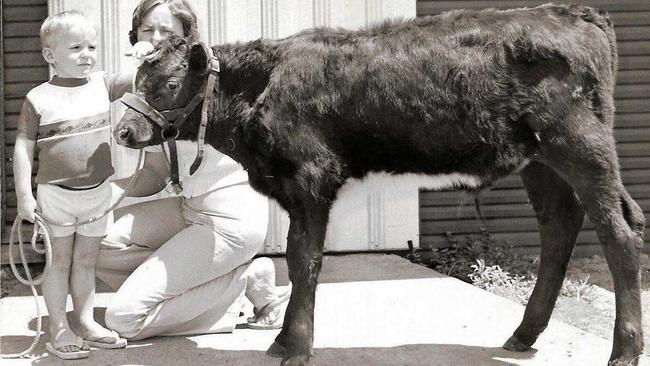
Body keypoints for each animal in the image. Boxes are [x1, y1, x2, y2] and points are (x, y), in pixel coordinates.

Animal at [116, 3, 644, 366]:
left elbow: (304, 260)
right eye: (135, 80)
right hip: (539, 160)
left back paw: (624, 349)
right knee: (560, 226)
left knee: (619, 234)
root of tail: (572, 13)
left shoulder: (312, 178)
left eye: (167, 85)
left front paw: (296, 345)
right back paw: (524, 334)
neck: (262, 87)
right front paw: (286, 340)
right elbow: (296, 257)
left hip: (581, 145)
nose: (123, 132)